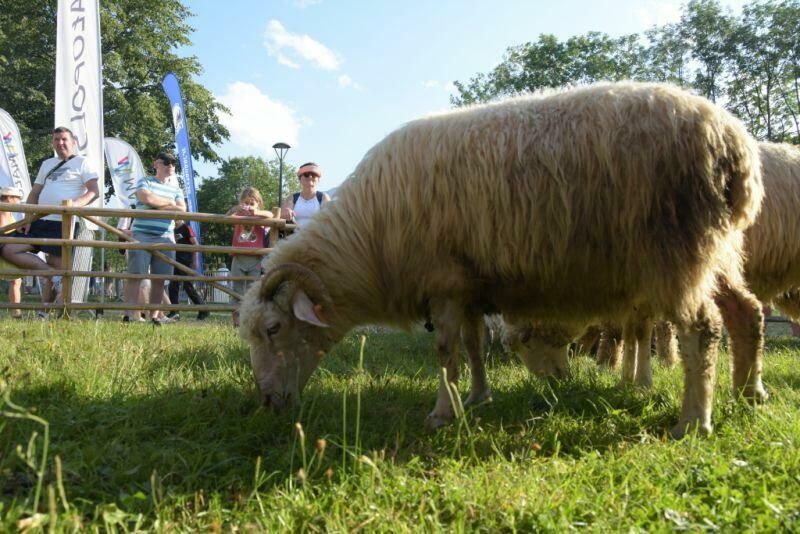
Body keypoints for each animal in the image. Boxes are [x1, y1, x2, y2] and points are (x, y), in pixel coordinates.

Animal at [239, 81, 763, 438]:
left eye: (274, 329)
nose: (265, 402)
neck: (370, 239)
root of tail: (736, 146)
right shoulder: (470, 290)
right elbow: (472, 348)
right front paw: (477, 397)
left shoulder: (444, 285)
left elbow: (446, 352)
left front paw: (443, 413)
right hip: (716, 252)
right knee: (747, 313)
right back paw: (749, 394)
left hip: (675, 255)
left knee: (702, 330)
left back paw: (694, 421)